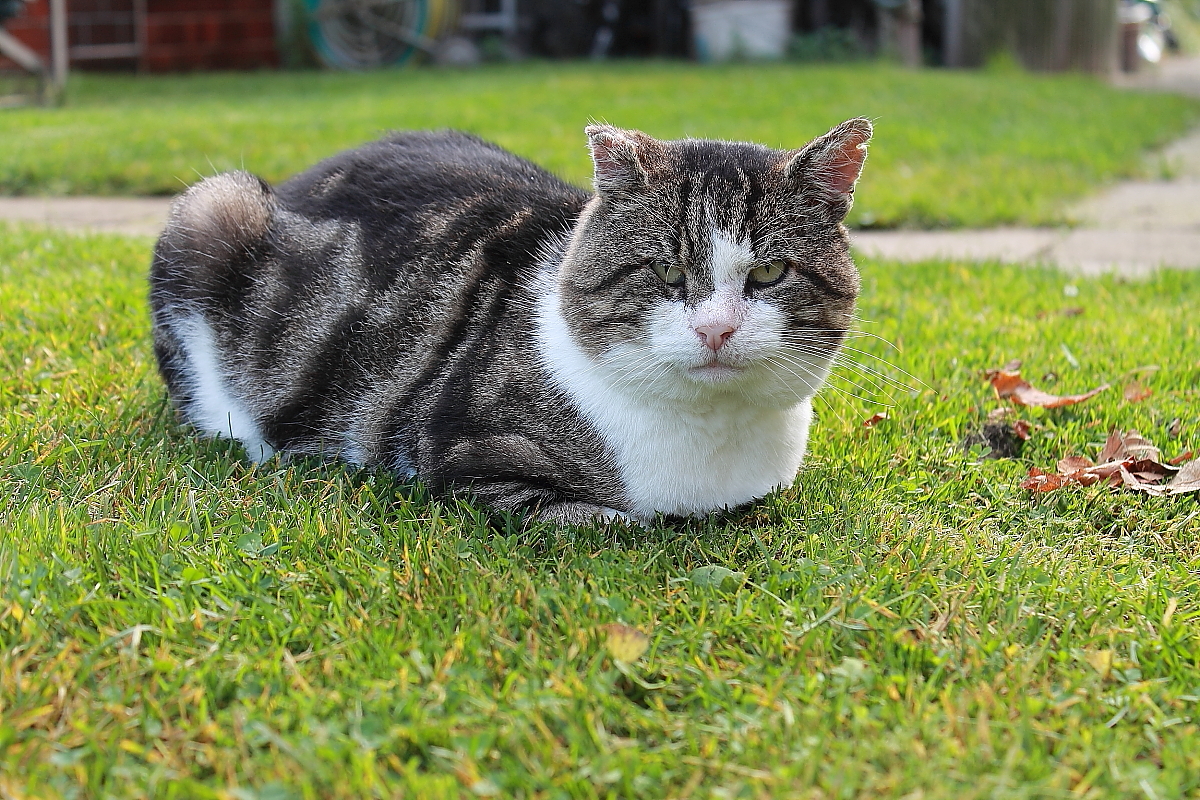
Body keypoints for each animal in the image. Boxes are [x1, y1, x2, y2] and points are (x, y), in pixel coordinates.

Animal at [150, 117, 873, 525]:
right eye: (665, 273)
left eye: (769, 273)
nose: (716, 329)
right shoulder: (467, 459)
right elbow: (614, 523)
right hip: (213, 206)